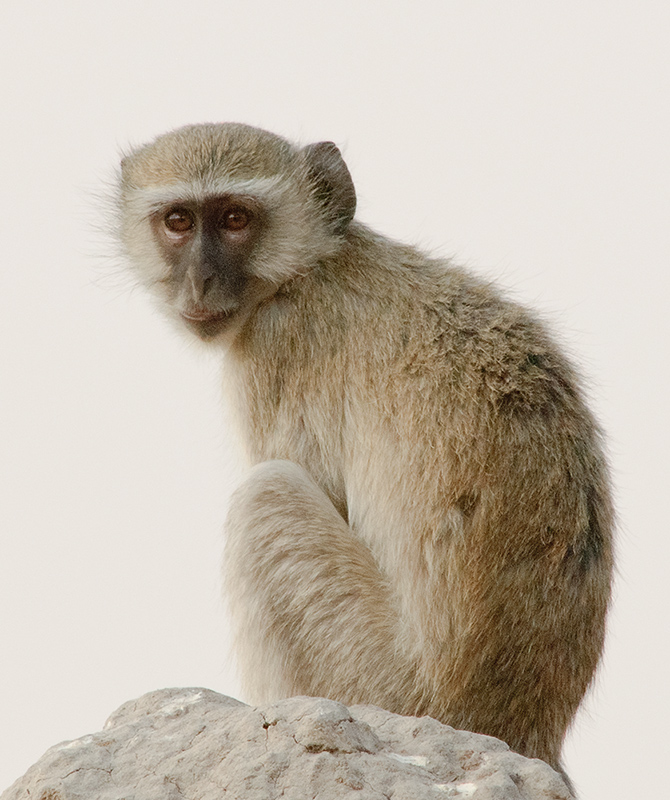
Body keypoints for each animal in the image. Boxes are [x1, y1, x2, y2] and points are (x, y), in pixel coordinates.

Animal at [117, 123, 613, 781]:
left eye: (235, 218)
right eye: (178, 221)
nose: (199, 280)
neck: (312, 266)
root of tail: (521, 730)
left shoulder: (278, 345)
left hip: (377, 683)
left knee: (267, 493)